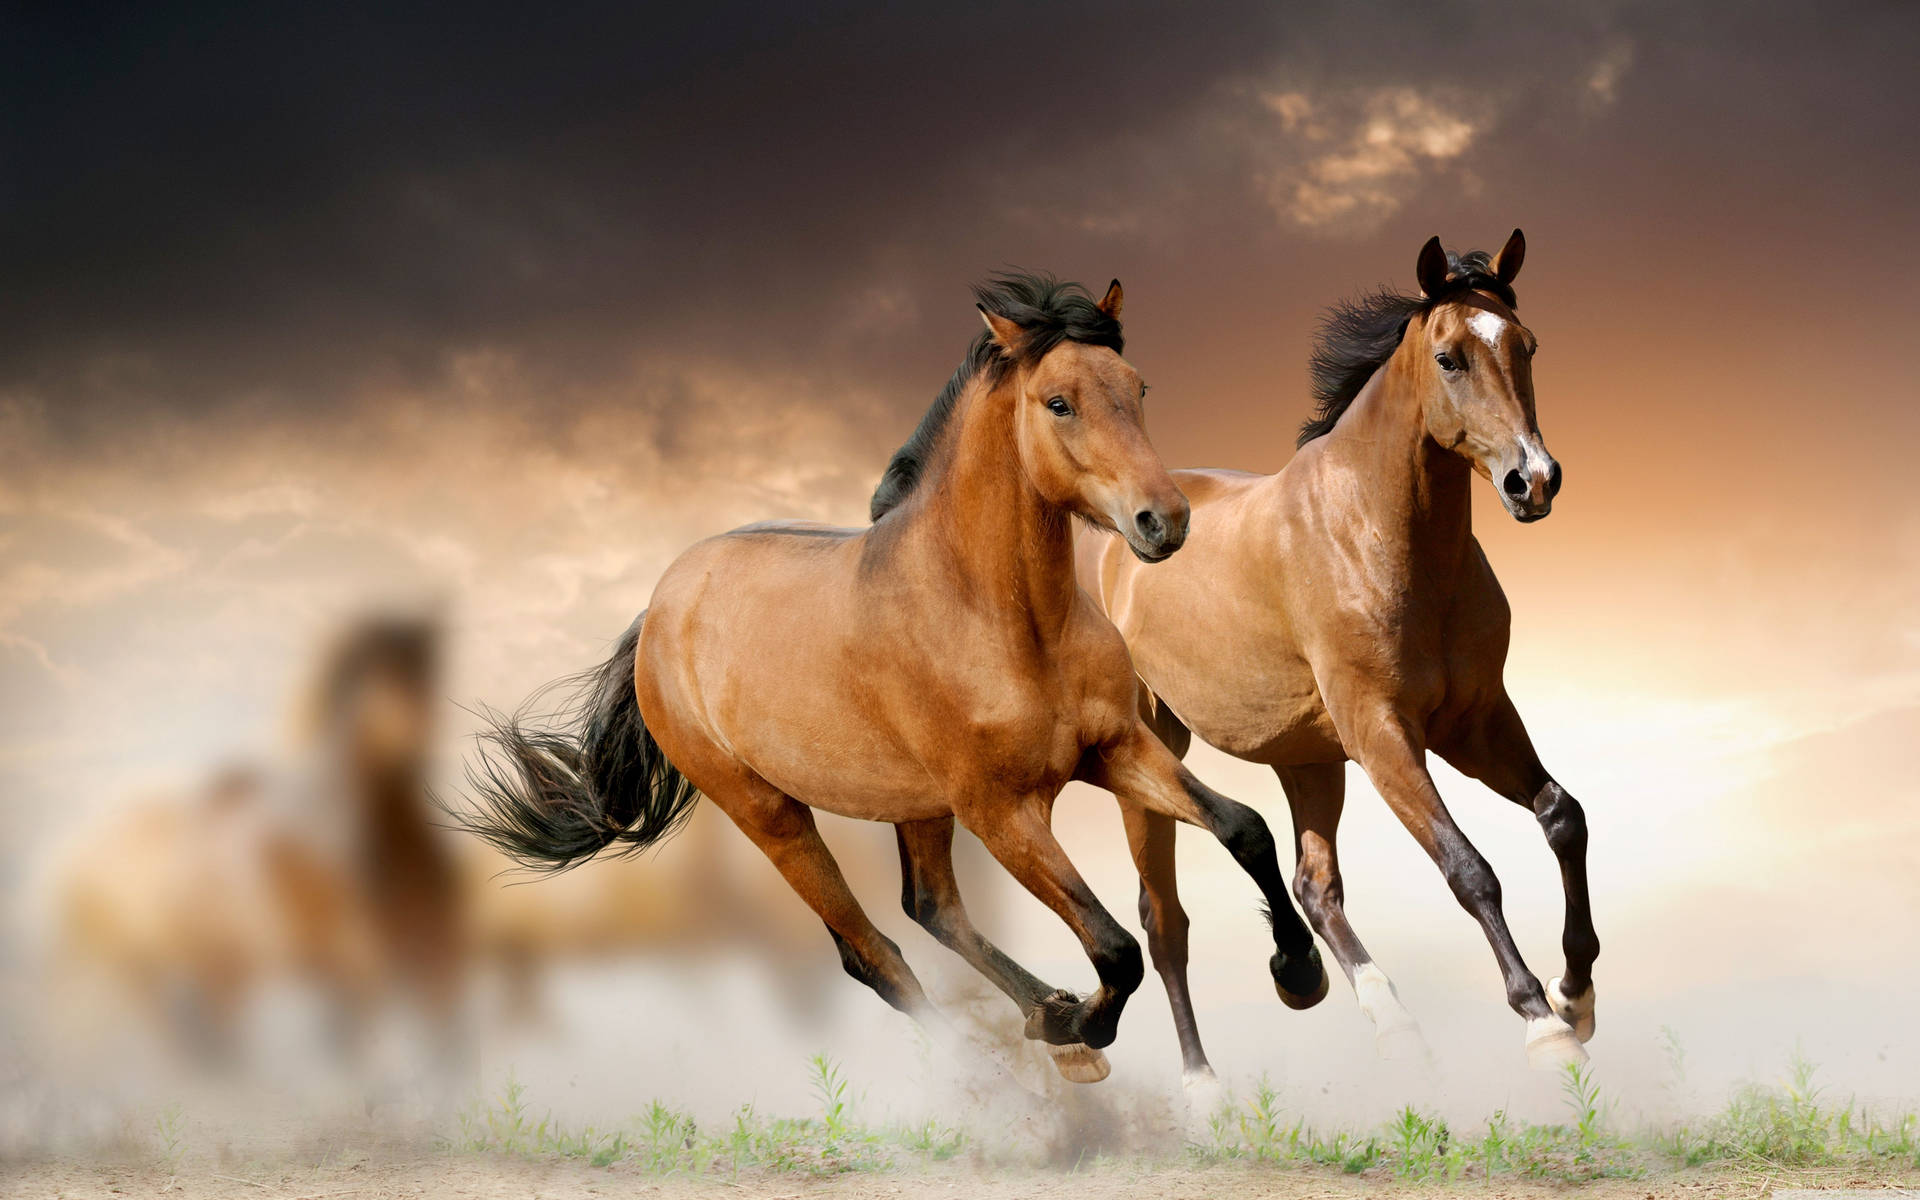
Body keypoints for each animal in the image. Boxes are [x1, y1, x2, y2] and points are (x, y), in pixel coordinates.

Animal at [453, 273, 1326, 1084]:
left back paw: (1046, 1016)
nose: (1164, 522)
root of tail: (660, 611)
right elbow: (1114, 948)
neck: (1003, 618)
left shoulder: (1114, 748)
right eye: (1059, 403)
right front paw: (1084, 1024)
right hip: (771, 813)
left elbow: (1244, 827)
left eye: (1137, 387)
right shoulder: (1002, 811)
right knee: (873, 954)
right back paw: (1013, 1064)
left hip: (916, 805)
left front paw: (1299, 974)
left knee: (930, 907)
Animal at [1080, 231, 1599, 1082]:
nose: (1535, 480)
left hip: (1308, 759)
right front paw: (1540, 1021)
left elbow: (1563, 816)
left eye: (1526, 346)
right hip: (1153, 749)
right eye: (1450, 357)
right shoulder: (1383, 733)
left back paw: (1380, 1017)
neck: (1378, 534)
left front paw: (1576, 993)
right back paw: (1202, 1085)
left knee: (1314, 886)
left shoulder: (1476, 720)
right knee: (1165, 922)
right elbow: (1469, 869)